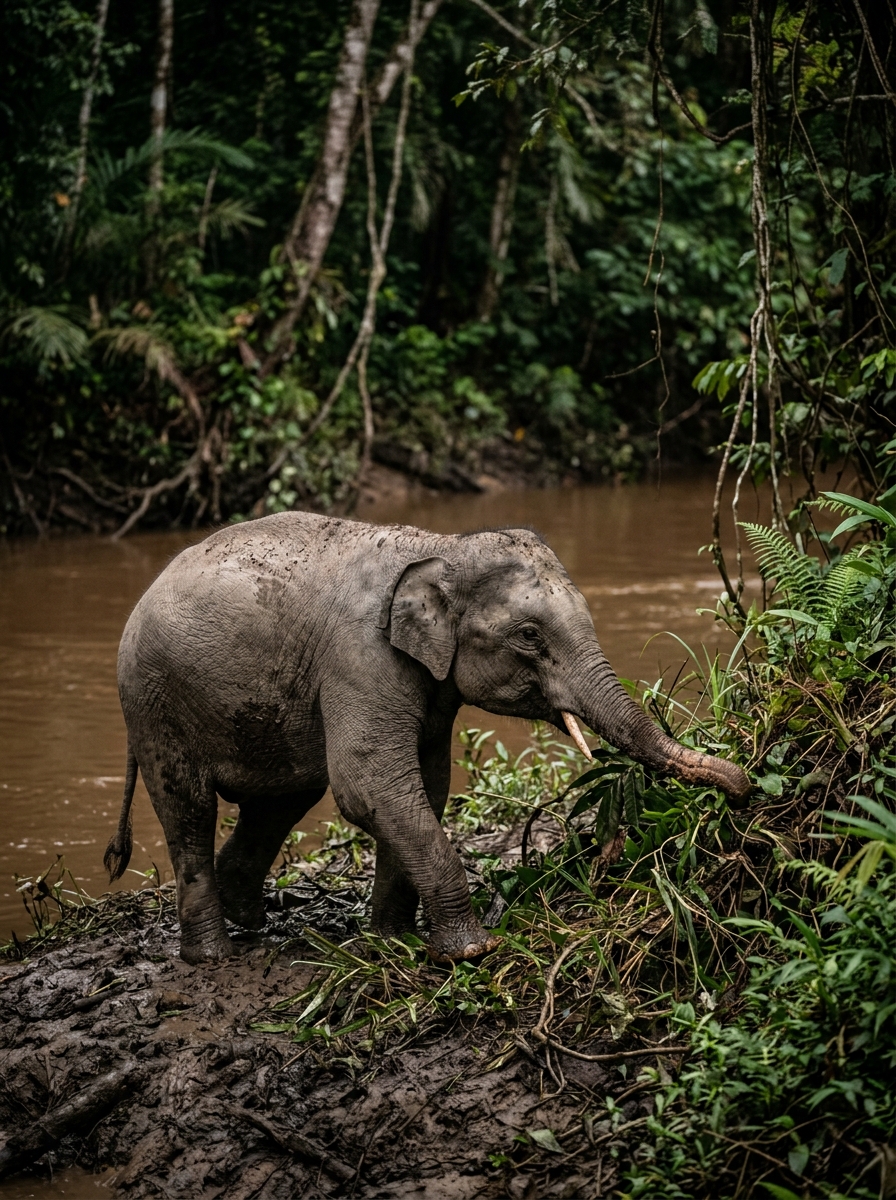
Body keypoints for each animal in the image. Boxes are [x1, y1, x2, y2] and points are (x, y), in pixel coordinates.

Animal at [105, 511, 750, 965]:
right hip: (153, 699)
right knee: (189, 808)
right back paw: (211, 954)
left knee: (283, 797)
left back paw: (251, 918)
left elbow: (426, 783)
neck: (441, 548)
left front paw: (394, 941)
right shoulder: (360, 658)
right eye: (530, 637)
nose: (745, 787)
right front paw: (471, 949)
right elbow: (368, 784)